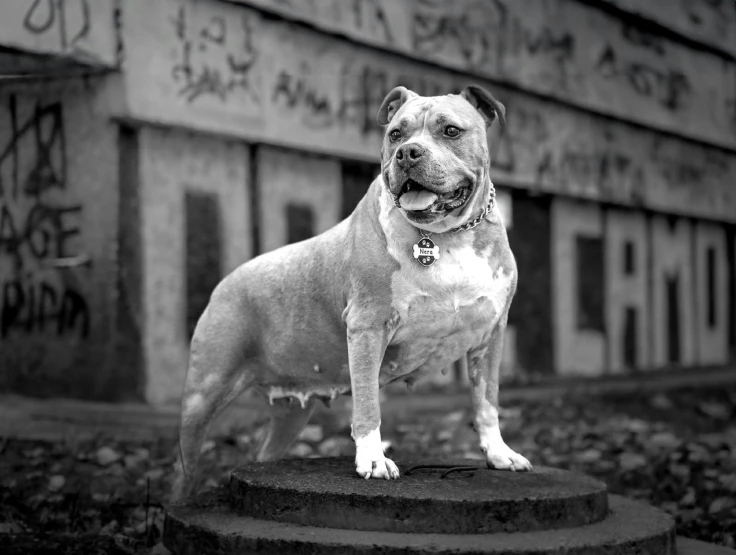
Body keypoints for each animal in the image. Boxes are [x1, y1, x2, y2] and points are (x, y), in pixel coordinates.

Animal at [171, 83, 528, 504]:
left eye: (451, 131)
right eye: (396, 134)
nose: (408, 153)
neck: (447, 236)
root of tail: (225, 282)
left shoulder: (491, 336)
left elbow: (487, 401)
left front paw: (500, 454)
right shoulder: (368, 327)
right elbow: (368, 405)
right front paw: (373, 460)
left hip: (290, 413)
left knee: (264, 452)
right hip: (203, 395)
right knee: (183, 467)